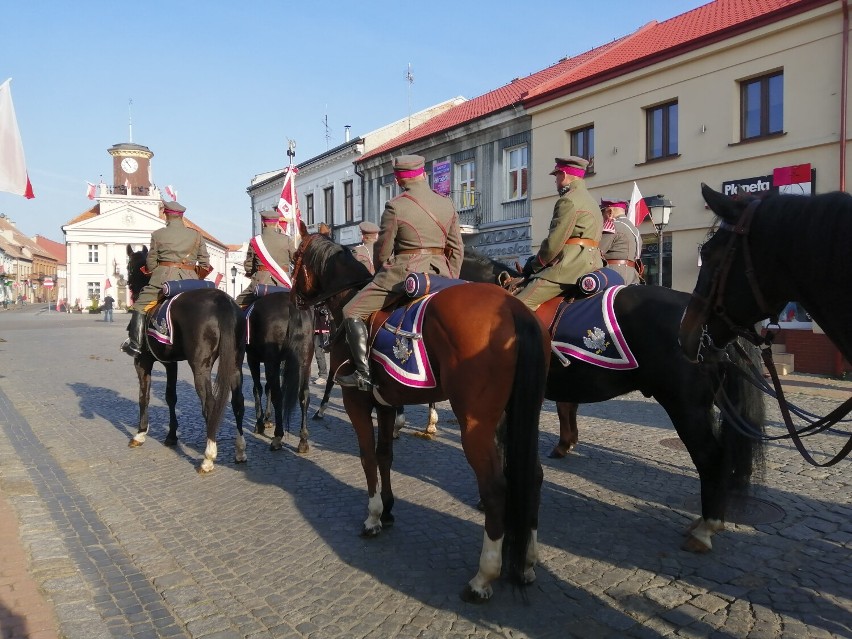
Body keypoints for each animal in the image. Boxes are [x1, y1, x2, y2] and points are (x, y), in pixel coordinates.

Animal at [125, 248, 246, 472]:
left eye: (129, 266)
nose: (127, 284)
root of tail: (222, 300)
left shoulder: (143, 362)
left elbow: (144, 396)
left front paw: (140, 433)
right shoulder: (170, 363)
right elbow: (171, 397)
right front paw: (172, 435)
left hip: (200, 368)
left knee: (210, 404)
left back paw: (208, 456)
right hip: (235, 365)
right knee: (238, 403)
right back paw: (240, 450)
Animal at [245, 292, 314, 452]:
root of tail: (291, 305)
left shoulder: (253, 359)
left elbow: (257, 389)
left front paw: (260, 423)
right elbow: (268, 387)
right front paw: (267, 418)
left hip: (271, 361)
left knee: (278, 395)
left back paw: (278, 437)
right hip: (305, 362)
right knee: (304, 395)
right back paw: (303, 439)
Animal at [290, 232, 548, 604]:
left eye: (295, 255)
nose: (293, 298)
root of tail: (514, 308)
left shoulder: (356, 401)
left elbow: (368, 457)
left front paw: (373, 517)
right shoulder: (385, 404)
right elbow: (385, 455)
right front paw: (388, 509)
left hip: (475, 426)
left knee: (496, 488)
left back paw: (483, 576)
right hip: (516, 418)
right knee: (532, 476)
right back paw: (527, 561)